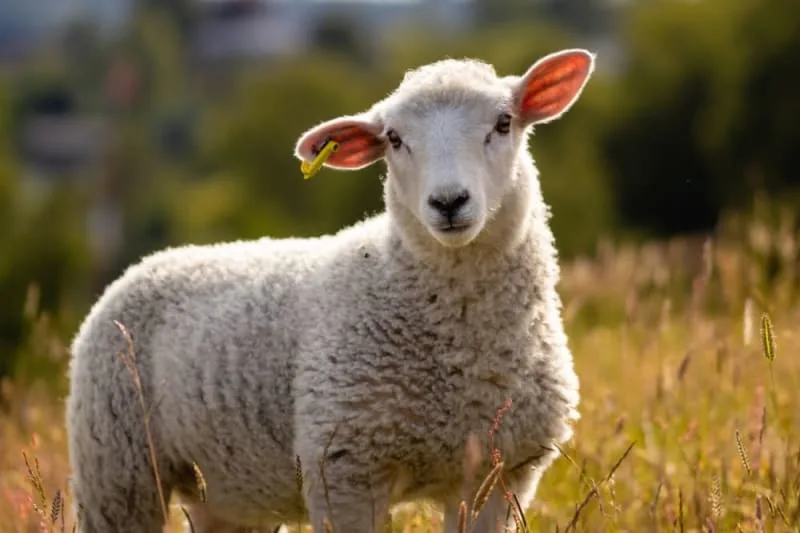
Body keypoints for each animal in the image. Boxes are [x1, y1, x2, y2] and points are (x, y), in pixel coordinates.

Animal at [65, 47, 595, 533]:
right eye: (394, 139)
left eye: (504, 123)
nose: (448, 202)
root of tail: (147, 264)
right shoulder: (343, 471)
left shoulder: (498, 476)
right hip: (118, 473)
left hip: (224, 491)